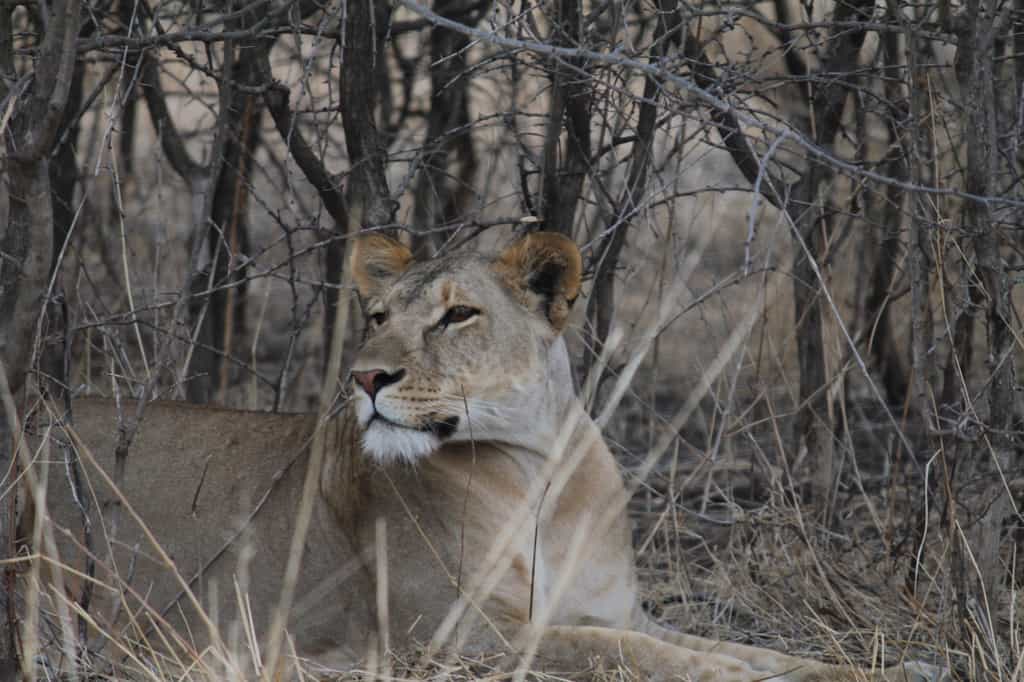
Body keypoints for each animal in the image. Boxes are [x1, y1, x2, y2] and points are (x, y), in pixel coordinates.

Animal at [23, 232, 946, 681]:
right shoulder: (454, 637)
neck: (540, 473)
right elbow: (635, 656)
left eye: (457, 315)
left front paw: (880, 667)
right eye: (377, 315)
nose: (365, 376)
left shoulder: (617, 608)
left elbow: (736, 647)